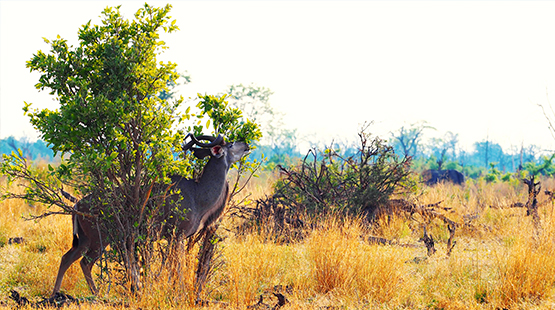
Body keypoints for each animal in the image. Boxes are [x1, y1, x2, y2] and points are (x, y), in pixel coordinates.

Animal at [52, 133, 250, 296]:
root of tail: (78, 204)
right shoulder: (177, 235)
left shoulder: (173, 238)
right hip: (100, 239)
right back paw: (98, 294)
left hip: (85, 240)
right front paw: (179, 292)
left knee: (67, 258)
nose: (247, 145)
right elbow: (178, 266)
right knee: (85, 263)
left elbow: (172, 266)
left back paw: (56, 293)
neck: (197, 193)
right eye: (231, 144)